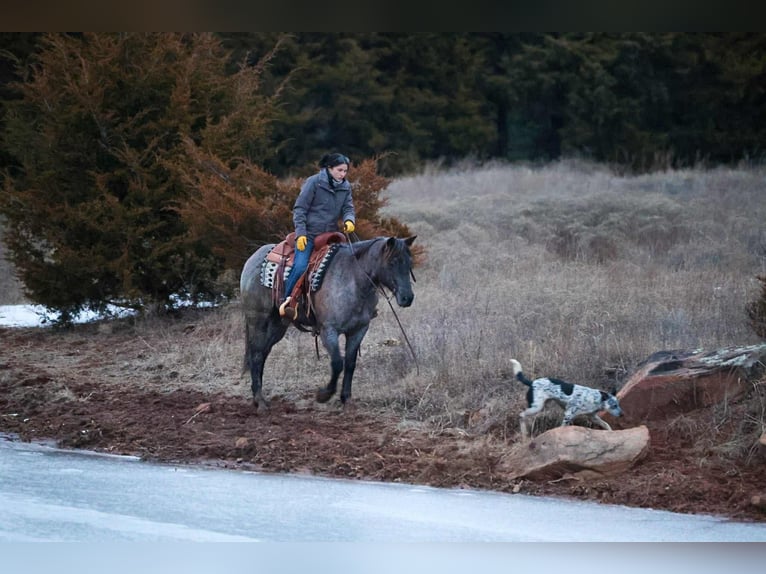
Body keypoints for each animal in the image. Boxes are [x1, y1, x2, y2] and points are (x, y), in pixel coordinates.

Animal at [239, 235, 417, 410]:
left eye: (409, 263)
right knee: (256, 354)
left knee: (263, 352)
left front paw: (346, 398)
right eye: (392, 262)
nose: (407, 298)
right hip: (258, 320)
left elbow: (350, 363)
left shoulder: (358, 330)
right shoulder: (329, 331)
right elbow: (338, 363)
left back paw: (257, 396)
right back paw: (260, 401)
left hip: (277, 326)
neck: (353, 280)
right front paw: (324, 394)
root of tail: (253, 257)